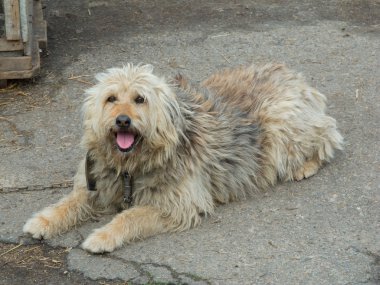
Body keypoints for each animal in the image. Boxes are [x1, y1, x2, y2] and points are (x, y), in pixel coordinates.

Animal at [23, 63, 344, 252]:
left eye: (140, 99)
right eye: (110, 99)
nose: (123, 121)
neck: (131, 166)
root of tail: (294, 75)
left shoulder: (176, 205)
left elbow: (130, 216)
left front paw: (103, 236)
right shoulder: (97, 183)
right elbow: (69, 202)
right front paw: (43, 221)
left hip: (282, 128)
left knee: (328, 133)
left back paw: (306, 165)